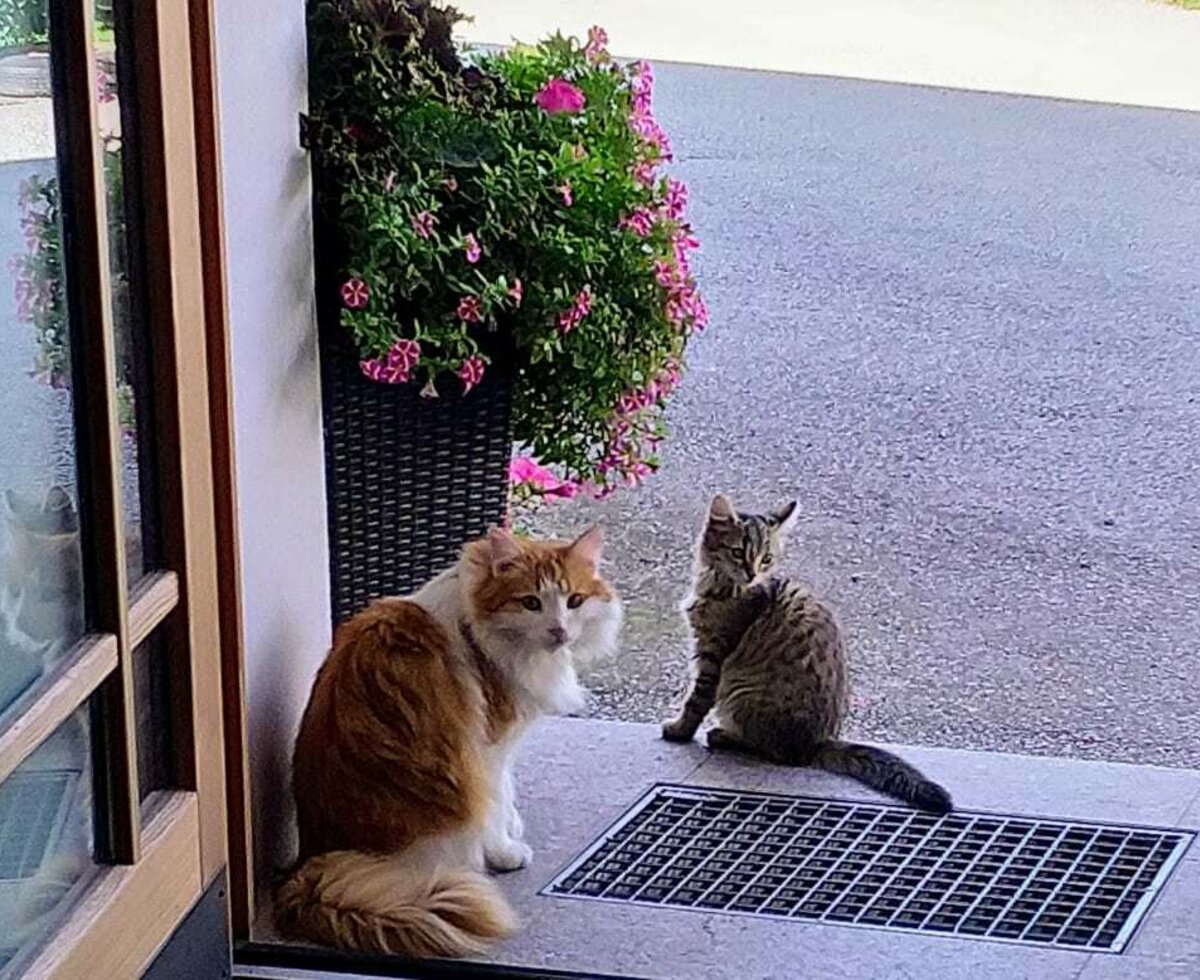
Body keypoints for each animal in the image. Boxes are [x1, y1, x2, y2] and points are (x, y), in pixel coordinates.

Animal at [274, 527, 624, 954]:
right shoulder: (490, 748)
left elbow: (506, 794)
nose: (559, 630)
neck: (478, 627)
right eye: (531, 603)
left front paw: (513, 825)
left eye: (574, 601)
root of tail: (312, 860)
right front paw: (506, 850)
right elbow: (497, 803)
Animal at [662, 494, 950, 815]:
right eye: (737, 553)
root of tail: (818, 742)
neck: (719, 586)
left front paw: (679, 730)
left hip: (740, 693)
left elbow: (696, 700)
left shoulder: (713, 655)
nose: (752, 573)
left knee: (776, 752)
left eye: (766, 559)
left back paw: (724, 736)